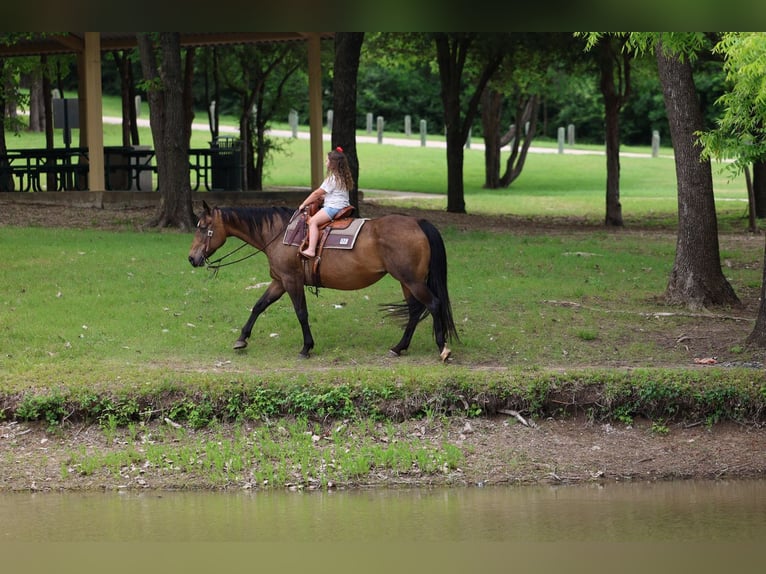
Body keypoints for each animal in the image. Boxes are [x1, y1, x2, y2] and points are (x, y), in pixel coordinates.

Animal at [187, 201, 458, 361]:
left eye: (202, 227)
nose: (191, 258)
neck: (279, 233)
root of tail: (418, 223)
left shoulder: (292, 281)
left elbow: (301, 313)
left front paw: (306, 347)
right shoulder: (279, 281)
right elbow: (259, 305)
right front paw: (242, 338)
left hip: (412, 281)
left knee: (433, 305)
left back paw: (442, 347)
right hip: (407, 281)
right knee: (415, 311)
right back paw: (399, 347)